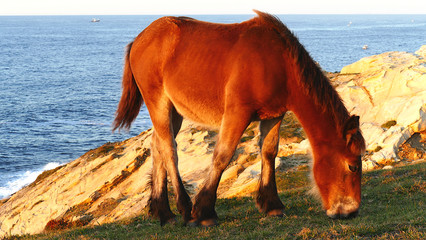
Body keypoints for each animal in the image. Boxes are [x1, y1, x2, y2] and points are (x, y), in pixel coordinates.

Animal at [113, 9, 366, 227]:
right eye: (353, 167)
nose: (351, 212)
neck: (277, 63)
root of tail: (140, 38)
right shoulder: (237, 113)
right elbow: (222, 155)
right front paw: (204, 212)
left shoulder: (274, 115)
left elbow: (269, 152)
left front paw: (271, 204)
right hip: (159, 103)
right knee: (169, 149)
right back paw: (183, 208)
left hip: (174, 110)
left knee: (157, 146)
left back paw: (162, 212)